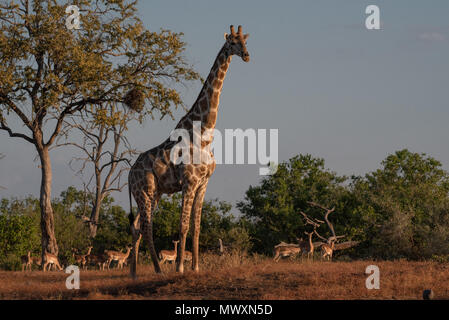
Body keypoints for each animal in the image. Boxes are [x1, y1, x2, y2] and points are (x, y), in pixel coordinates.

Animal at [128, 25, 250, 276]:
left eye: (245, 41)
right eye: (232, 43)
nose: (246, 55)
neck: (204, 134)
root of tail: (128, 174)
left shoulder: (203, 183)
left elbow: (196, 227)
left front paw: (195, 267)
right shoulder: (189, 182)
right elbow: (183, 226)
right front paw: (180, 268)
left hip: (153, 194)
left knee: (137, 228)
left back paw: (133, 274)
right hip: (145, 191)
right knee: (146, 227)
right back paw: (158, 270)